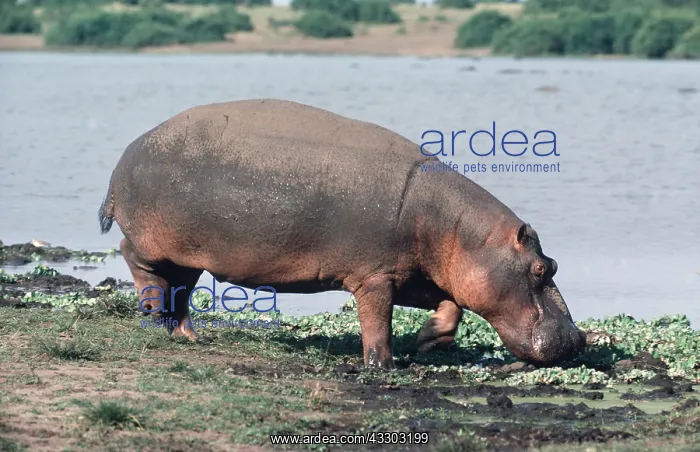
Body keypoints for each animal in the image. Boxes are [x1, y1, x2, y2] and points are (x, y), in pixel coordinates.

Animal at [98, 98, 586, 368]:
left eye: (554, 263)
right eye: (542, 268)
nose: (579, 339)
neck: (462, 234)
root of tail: (127, 151)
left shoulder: (419, 274)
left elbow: (451, 303)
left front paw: (429, 341)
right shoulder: (376, 276)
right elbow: (377, 321)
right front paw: (381, 365)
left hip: (191, 254)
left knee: (179, 289)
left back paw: (186, 335)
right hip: (153, 242)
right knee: (136, 260)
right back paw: (151, 312)